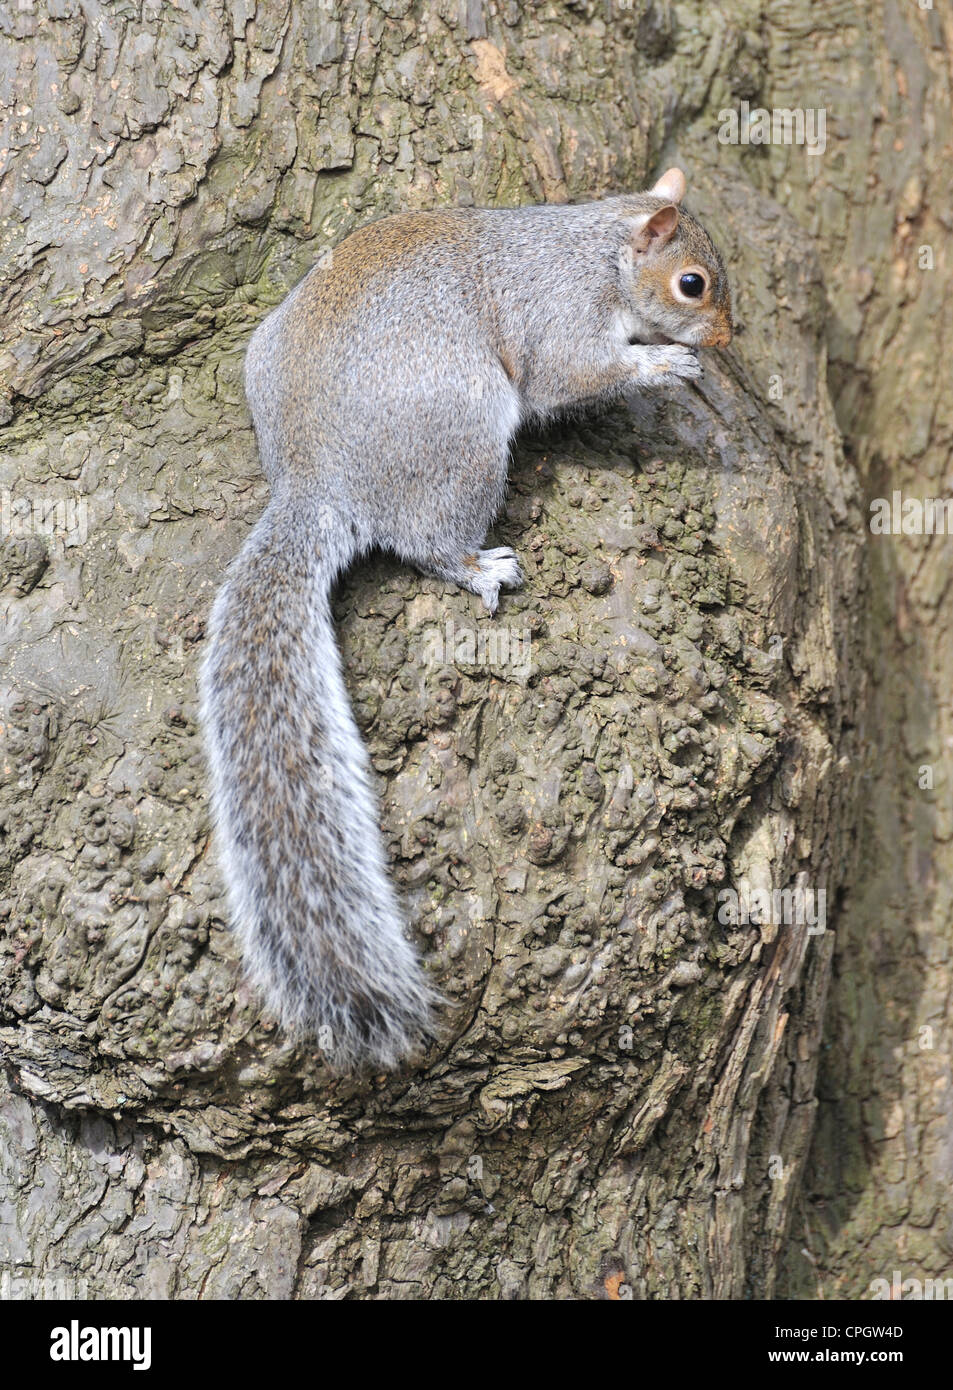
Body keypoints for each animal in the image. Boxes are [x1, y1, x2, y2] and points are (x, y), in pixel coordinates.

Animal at [199, 167, 733, 1073]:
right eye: (690, 283)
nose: (727, 338)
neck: (596, 251)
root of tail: (313, 478)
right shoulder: (561, 319)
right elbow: (573, 375)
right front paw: (663, 363)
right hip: (466, 434)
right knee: (425, 542)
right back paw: (477, 565)